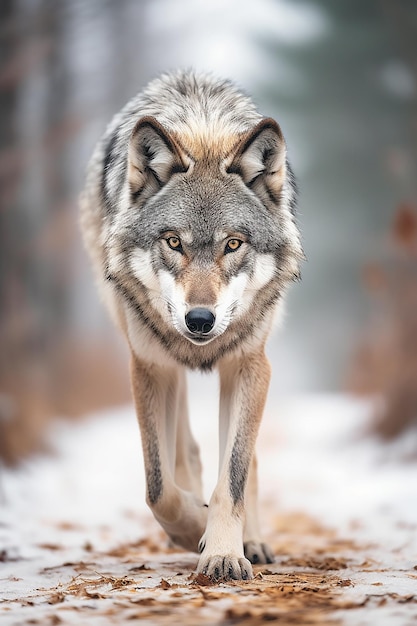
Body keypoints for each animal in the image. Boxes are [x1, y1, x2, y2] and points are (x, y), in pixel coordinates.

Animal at [80, 69, 302, 580]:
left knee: (245, 461)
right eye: (174, 242)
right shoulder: (148, 366)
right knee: (185, 453)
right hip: (159, 356)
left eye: (233, 243)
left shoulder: (248, 364)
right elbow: (158, 488)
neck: (203, 128)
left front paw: (224, 552)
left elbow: (234, 476)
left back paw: (251, 540)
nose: (199, 320)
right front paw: (194, 529)